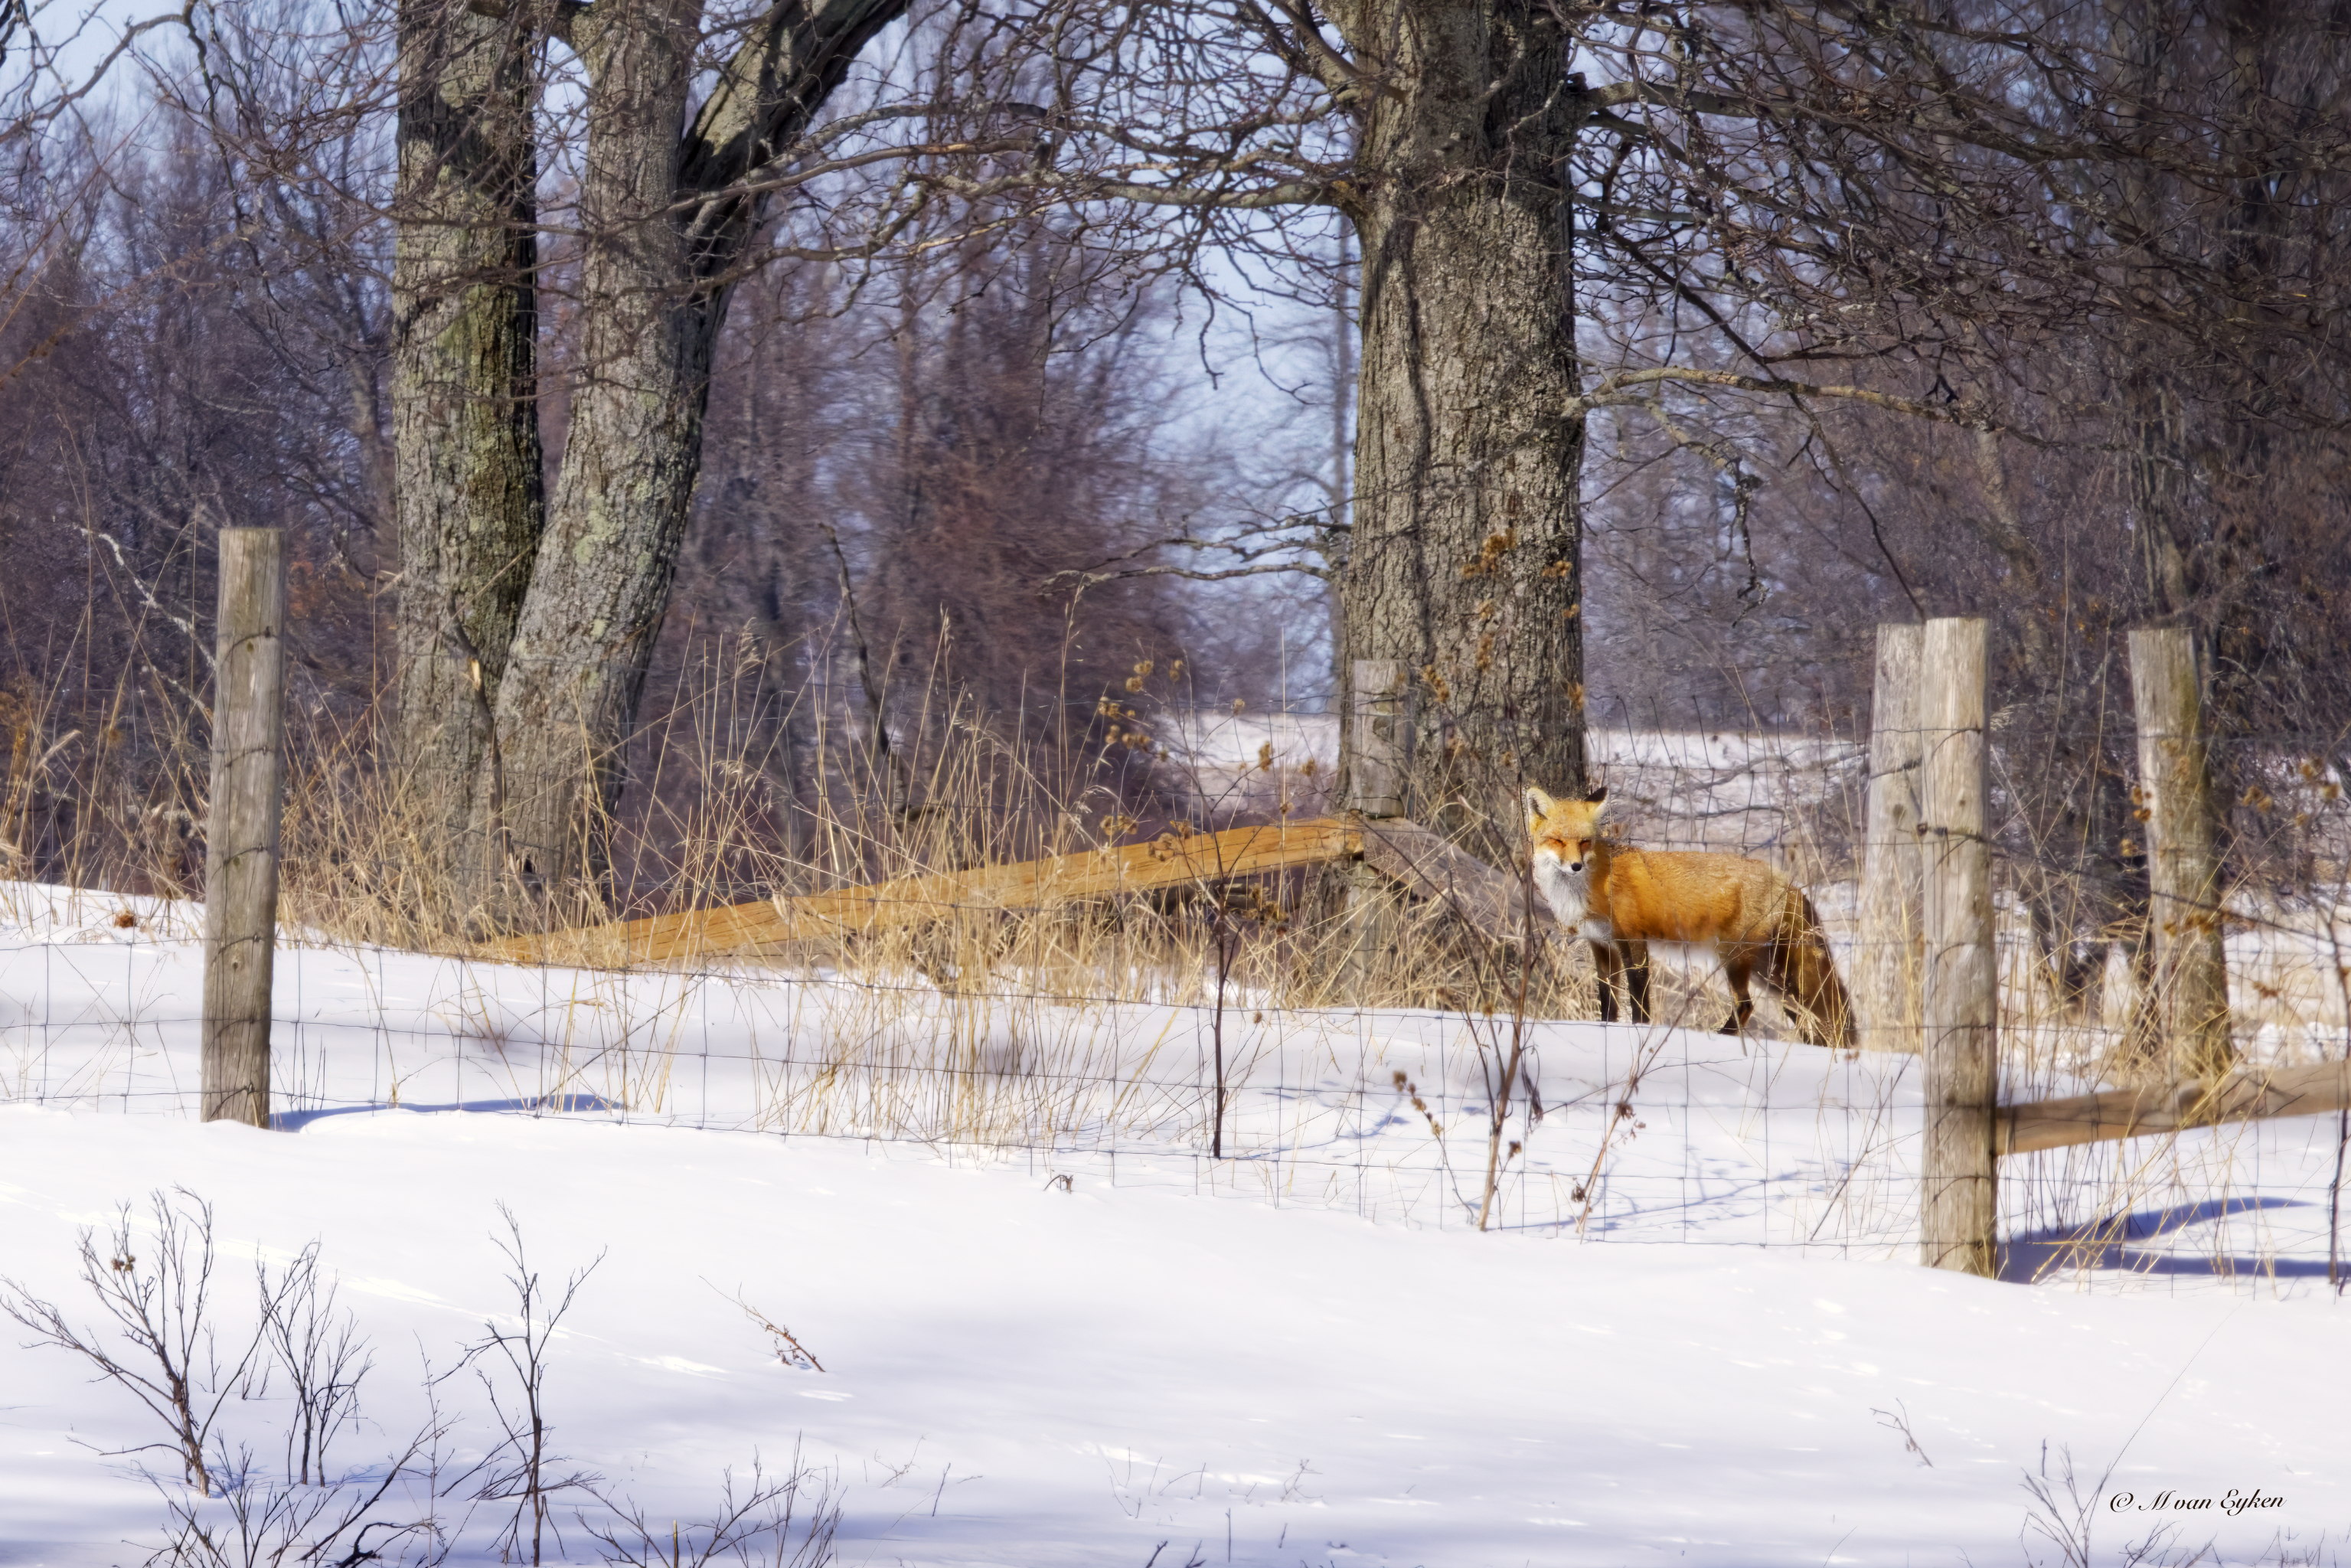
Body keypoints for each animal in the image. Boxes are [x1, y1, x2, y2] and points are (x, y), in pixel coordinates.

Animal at [1523, 783, 1856, 1049]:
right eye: (1557, 841)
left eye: (1585, 842)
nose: (1576, 866)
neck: (1593, 884)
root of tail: (1789, 883)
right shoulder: (1601, 945)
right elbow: (1607, 1000)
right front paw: (1605, 1030)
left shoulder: (1633, 940)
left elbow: (1639, 999)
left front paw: (1641, 1033)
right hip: (1773, 975)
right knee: (1807, 1016)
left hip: (1736, 959)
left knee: (1747, 1005)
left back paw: (1718, 1037)